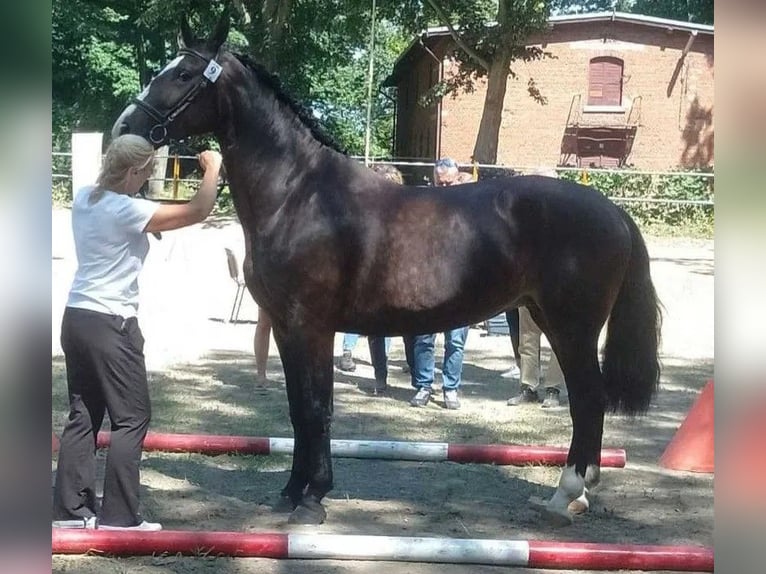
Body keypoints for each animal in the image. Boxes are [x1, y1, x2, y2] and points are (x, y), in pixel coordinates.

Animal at [112, 18, 660, 528]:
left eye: (183, 74)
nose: (124, 127)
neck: (299, 194)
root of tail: (611, 209)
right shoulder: (288, 328)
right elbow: (297, 409)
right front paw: (292, 491)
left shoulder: (311, 326)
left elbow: (317, 408)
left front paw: (312, 498)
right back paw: (575, 494)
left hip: (571, 328)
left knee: (588, 400)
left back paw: (565, 495)